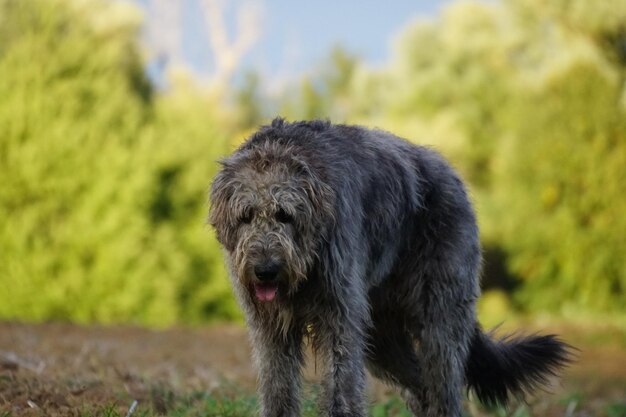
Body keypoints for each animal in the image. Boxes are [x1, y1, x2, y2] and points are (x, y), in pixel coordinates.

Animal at [210, 118, 572, 416]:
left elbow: (341, 388)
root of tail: (451, 172)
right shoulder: (270, 329)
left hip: (439, 319)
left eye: (285, 214)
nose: (266, 270)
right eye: (246, 215)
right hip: (381, 336)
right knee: (421, 388)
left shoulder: (339, 319)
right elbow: (277, 388)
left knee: (444, 388)